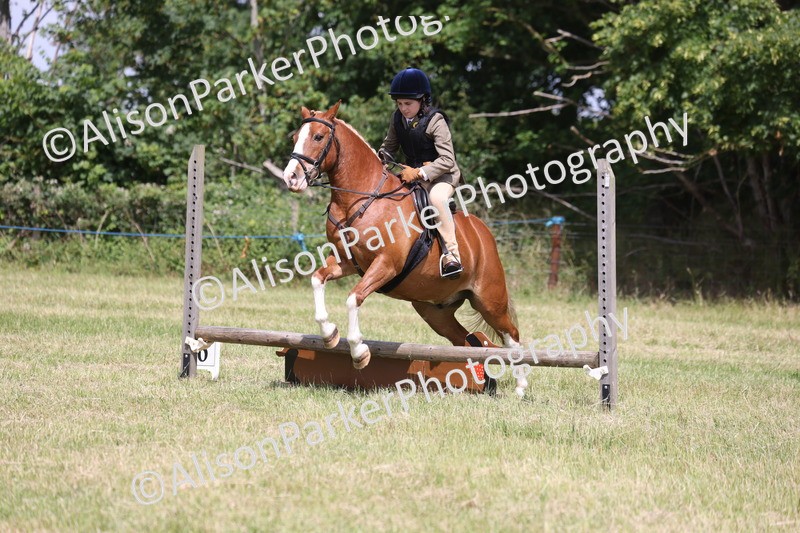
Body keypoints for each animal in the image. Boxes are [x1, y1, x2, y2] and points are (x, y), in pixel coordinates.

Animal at [281, 100, 529, 395]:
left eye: (318, 137)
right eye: (295, 138)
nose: (291, 178)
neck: (361, 198)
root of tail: (484, 234)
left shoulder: (386, 264)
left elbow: (354, 298)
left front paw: (359, 352)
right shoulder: (346, 261)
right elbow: (317, 279)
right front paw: (330, 334)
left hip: (489, 300)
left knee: (511, 336)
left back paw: (520, 388)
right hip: (435, 312)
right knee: (466, 341)